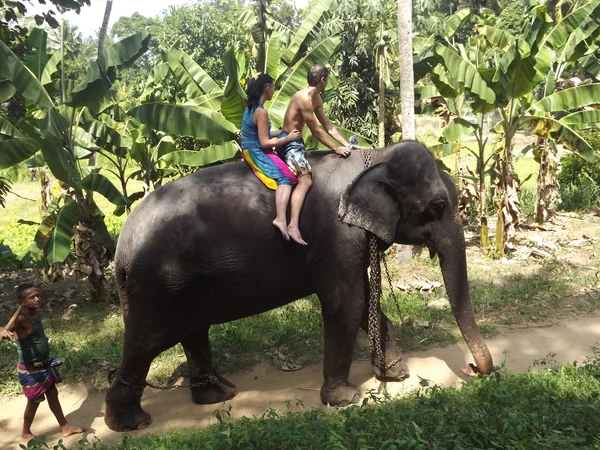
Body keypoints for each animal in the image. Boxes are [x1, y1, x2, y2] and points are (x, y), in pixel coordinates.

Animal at [105, 141, 494, 432]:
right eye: (437, 207)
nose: (475, 370)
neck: (376, 156)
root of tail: (122, 244)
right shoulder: (337, 234)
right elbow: (347, 301)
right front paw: (345, 399)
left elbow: (364, 301)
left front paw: (396, 374)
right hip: (157, 284)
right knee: (149, 339)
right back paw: (131, 423)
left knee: (193, 331)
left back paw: (219, 394)